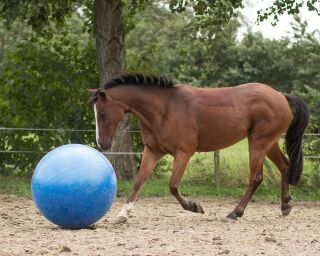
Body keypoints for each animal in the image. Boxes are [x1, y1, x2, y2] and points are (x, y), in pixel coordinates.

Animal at [89, 73, 308, 223]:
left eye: (102, 114)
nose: (103, 144)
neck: (164, 109)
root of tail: (280, 95)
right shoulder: (152, 151)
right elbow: (138, 182)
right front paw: (123, 214)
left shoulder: (184, 153)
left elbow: (173, 186)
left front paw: (195, 207)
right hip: (268, 143)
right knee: (284, 166)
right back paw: (285, 205)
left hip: (258, 142)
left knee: (256, 178)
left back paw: (234, 213)